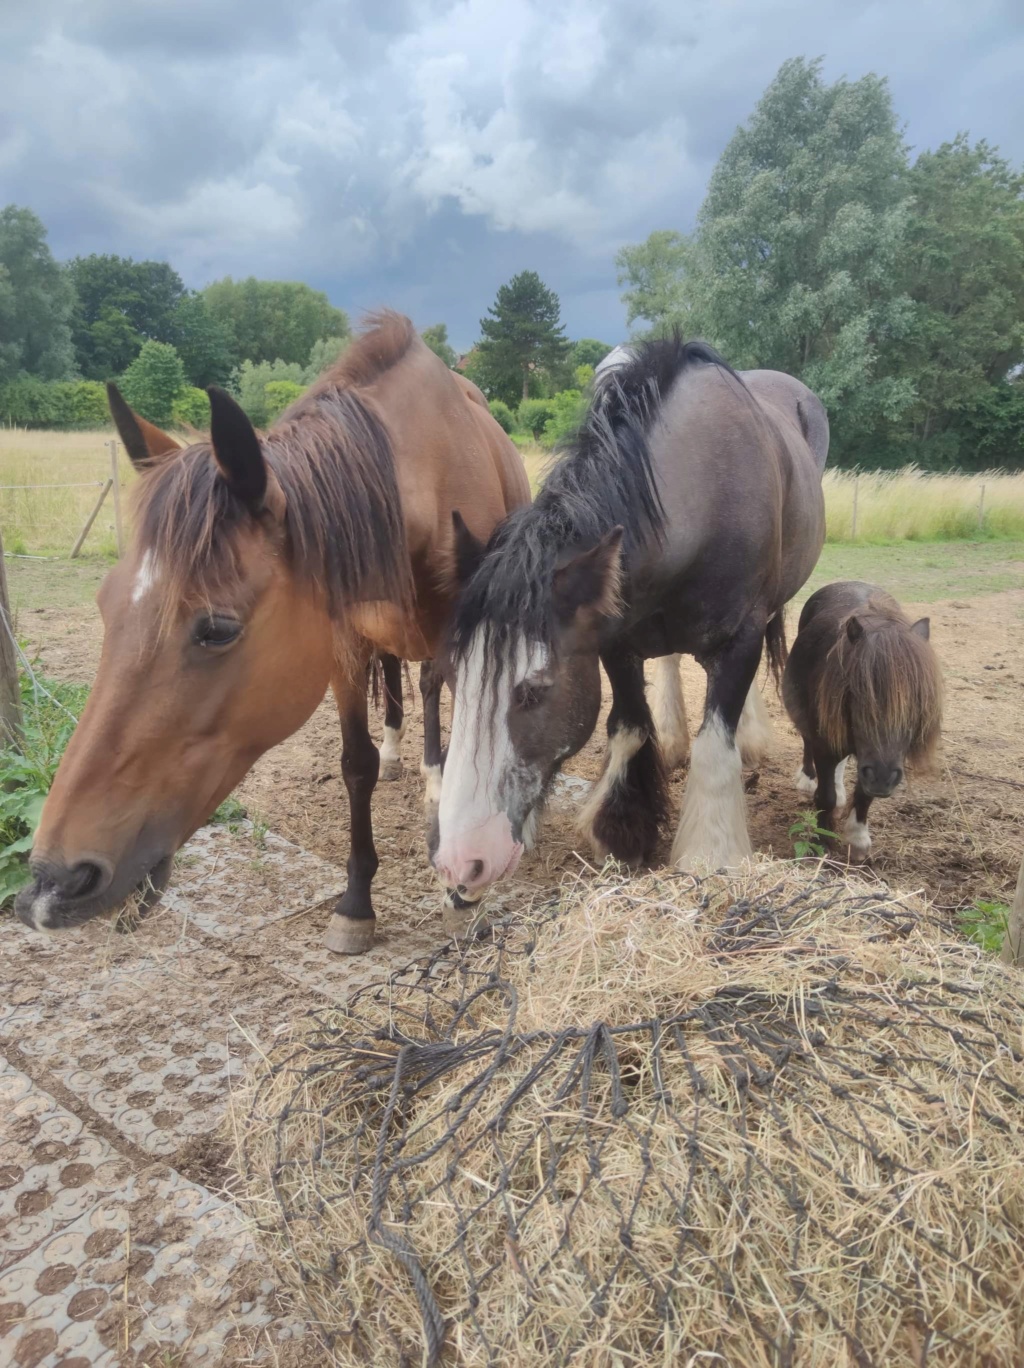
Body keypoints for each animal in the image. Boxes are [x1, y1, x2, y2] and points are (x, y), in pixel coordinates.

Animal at [15, 313, 527, 952]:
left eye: (217, 629)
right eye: (105, 605)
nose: (51, 884)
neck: (427, 483)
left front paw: (462, 893)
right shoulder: (340, 648)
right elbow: (355, 764)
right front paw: (356, 902)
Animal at [434, 335, 825, 902]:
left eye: (532, 692)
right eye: (450, 680)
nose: (460, 864)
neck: (701, 486)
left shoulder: (741, 639)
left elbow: (717, 741)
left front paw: (709, 854)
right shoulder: (615, 642)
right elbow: (630, 727)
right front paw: (623, 830)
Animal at [782, 577, 940, 853]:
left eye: (917, 700)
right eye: (858, 692)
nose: (883, 778)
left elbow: (864, 795)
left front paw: (857, 836)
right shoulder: (826, 744)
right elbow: (825, 796)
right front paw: (823, 841)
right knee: (807, 743)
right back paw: (807, 779)